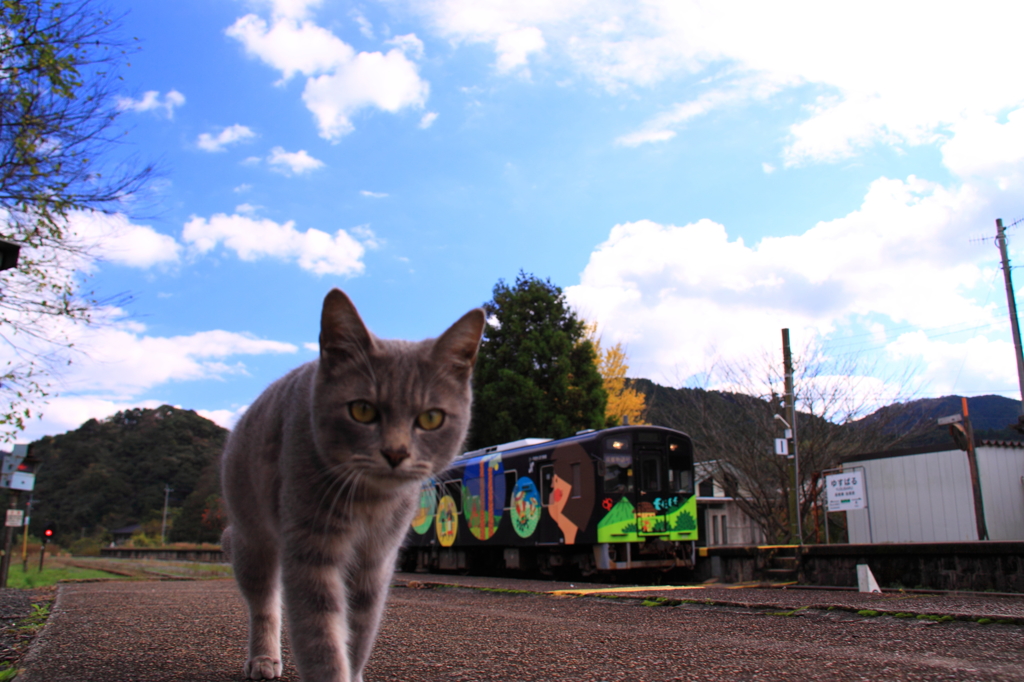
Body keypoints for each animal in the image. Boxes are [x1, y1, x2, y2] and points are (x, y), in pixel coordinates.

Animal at [222, 288, 485, 679]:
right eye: (362, 410)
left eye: (431, 418)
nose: (395, 452)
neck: (370, 505)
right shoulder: (311, 550)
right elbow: (321, 636)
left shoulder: (376, 560)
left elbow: (360, 628)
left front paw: (355, 671)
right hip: (251, 538)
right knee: (264, 602)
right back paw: (263, 659)